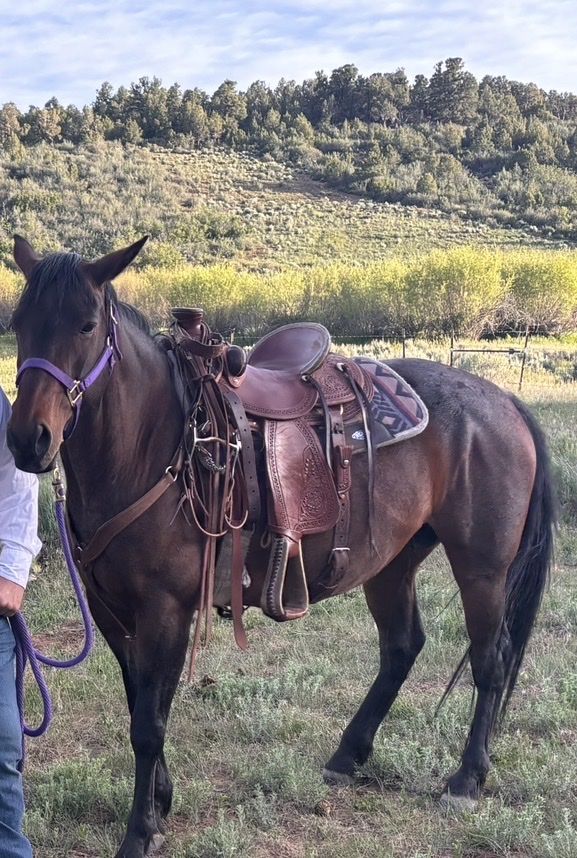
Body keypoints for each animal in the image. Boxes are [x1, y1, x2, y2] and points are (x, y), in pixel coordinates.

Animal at [7, 236, 555, 858]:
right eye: (19, 323)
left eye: (86, 325)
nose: (28, 439)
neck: (152, 445)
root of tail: (504, 400)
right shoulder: (114, 615)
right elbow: (138, 705)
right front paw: (162, 802)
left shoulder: (165, 613)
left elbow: (148, 725)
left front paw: (140, 831)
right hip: (391, 563)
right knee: (402, 647)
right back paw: (348, 755)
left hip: (482, 568)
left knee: (491, 659)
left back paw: (465, 779)